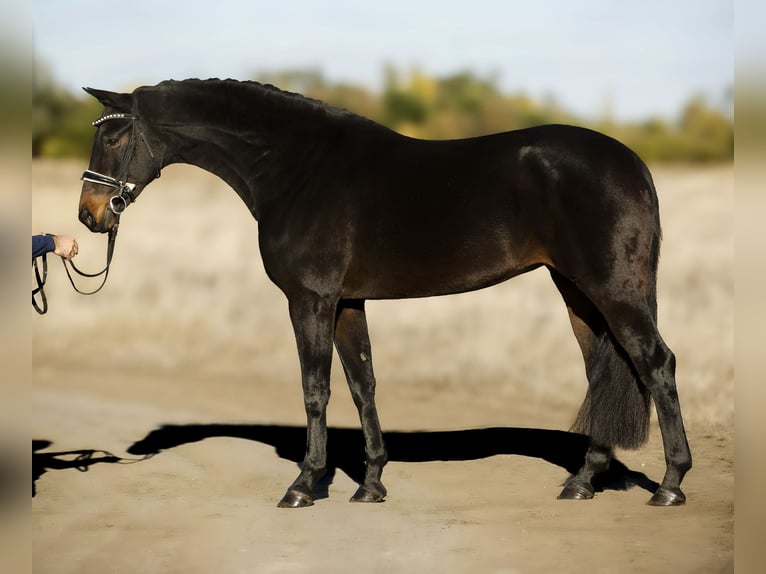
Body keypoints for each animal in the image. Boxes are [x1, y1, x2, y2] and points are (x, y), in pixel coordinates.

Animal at [78, 79, 691, 508]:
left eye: (114, 136)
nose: (88, 215)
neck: (297, 168)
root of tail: (632, 163)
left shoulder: (310, 300)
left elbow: (316, 389)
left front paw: (303, 484)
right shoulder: (348, 303)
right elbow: (362, 384)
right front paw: (370, 483)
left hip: (612, 290)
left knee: (657, 363)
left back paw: (670, 484)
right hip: (578, 293)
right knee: (604, 371)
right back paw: (582, 482)